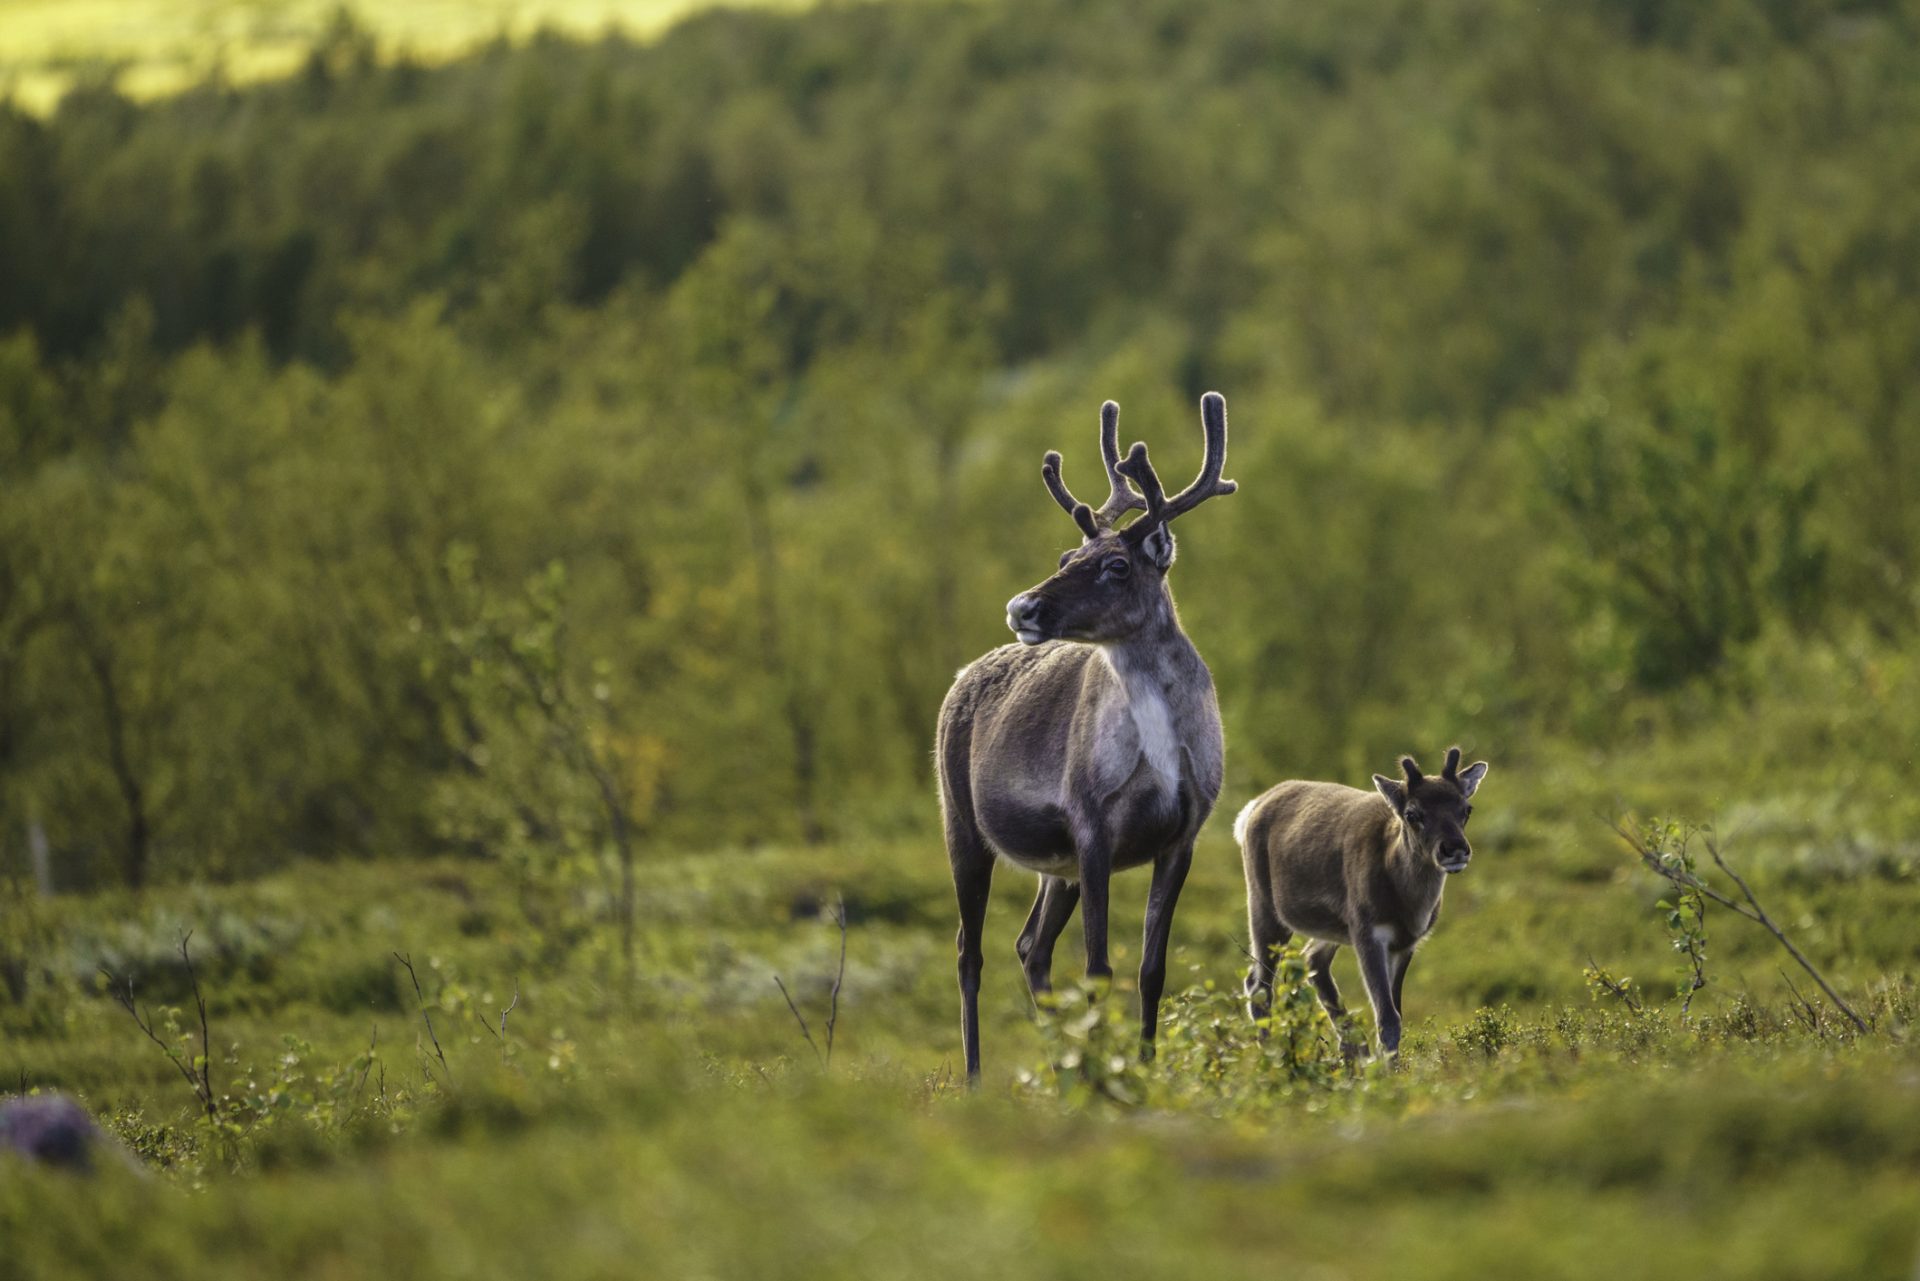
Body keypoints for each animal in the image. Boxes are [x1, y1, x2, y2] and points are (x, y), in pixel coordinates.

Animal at [1236, 745, 1489, 1060]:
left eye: (1466, 809)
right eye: (1412, 813)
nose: (1454, 848)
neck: (1407, 907)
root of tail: (1251, 808)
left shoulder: (1405, 944)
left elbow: (1397, 1011)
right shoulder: (1368, 932)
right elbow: (1388, 1016)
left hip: (1332, 927)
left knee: (1312, 959)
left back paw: (1352, 1050)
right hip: (1263, 905)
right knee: (1259, 983)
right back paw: (1275, 1054)